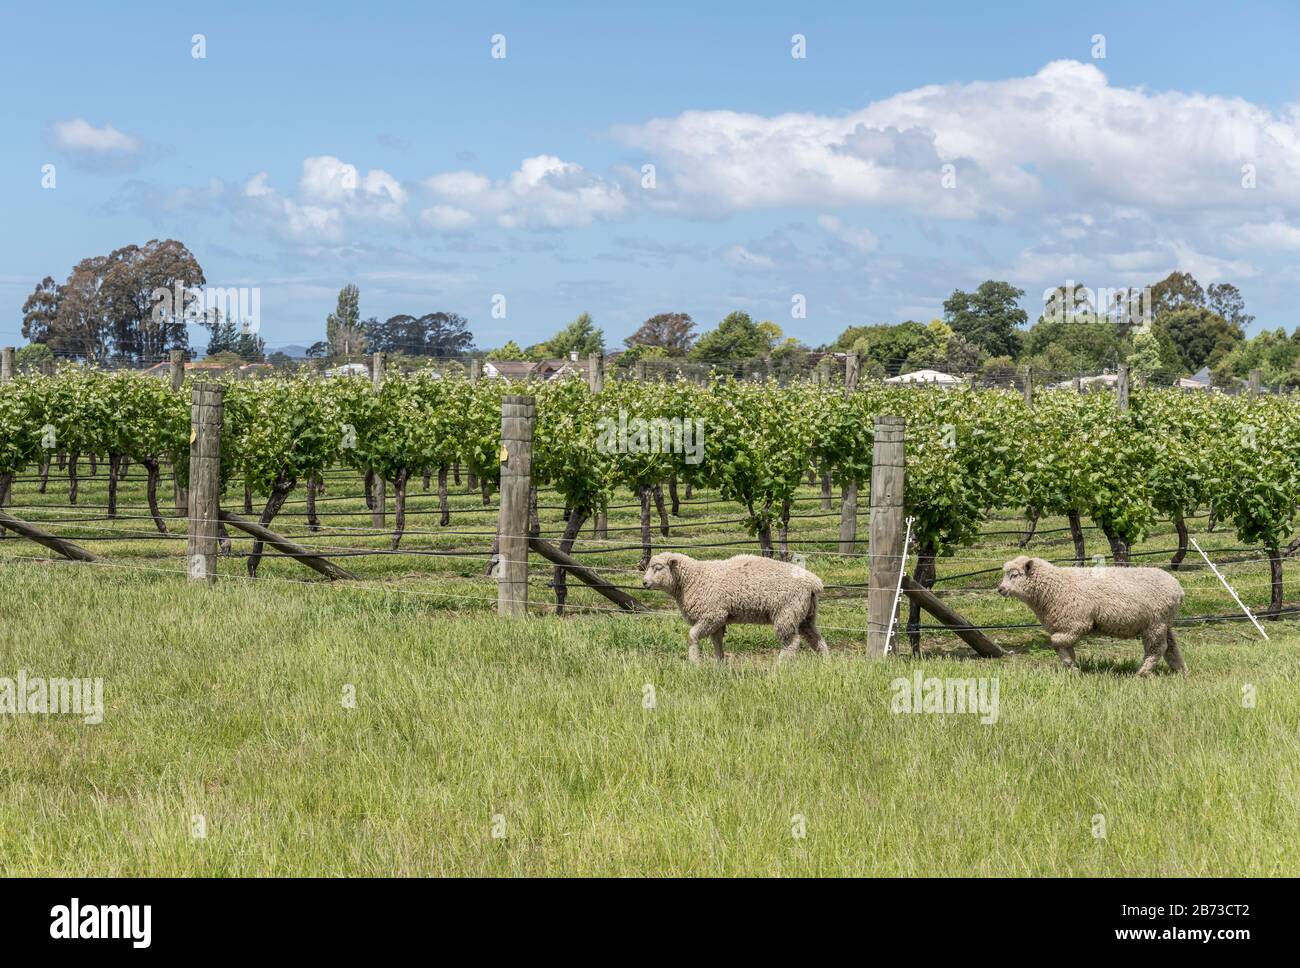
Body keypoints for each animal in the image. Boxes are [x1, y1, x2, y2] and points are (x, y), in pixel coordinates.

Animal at [642, 550, 832, 665]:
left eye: (658, 568)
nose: (644, 583)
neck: (693, 579)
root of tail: (814, 583)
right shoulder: (718, 620)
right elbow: (717, 642)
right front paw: (719, 665)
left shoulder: (713, 614)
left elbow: (692, 636)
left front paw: (695, 662)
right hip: (805, 614)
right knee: (816, 639)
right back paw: (825, 663)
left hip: (786, 612)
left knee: (791, 642)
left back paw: (780, 667)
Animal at [993, 556, 1190, 675]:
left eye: (1014, 575)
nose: (1000, 589)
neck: (1055, 587)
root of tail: (1178, 589)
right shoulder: (1065, 625)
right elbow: (1064, 646)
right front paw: (1071, 666)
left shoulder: (1076, 623)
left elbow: (1056, 642)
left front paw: (1071, 666)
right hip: (1165, 622)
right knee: (1171, 647)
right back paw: (1181, 671)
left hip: (1155, 623)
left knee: (1157, 649)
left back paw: (1141, 673)